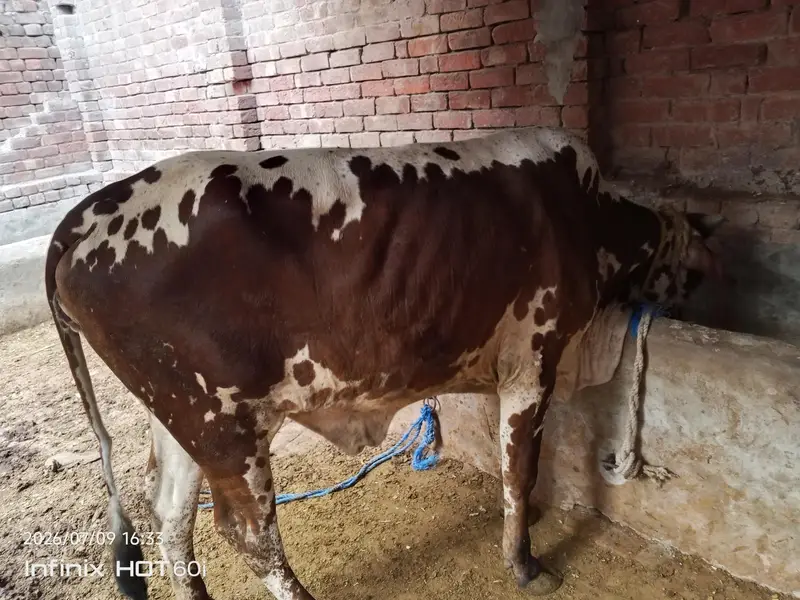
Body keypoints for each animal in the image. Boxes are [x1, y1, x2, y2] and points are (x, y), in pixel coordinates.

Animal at [45, 126, 723, 600]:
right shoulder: (533, 363)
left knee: (169, 518)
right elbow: (522, 467)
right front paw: (525, 562)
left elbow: (511, 465)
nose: (688, 306)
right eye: (694, 270)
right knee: (249, 534)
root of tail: (84, 217)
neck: (587, 217)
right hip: (223, 425)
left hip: (181, 419)